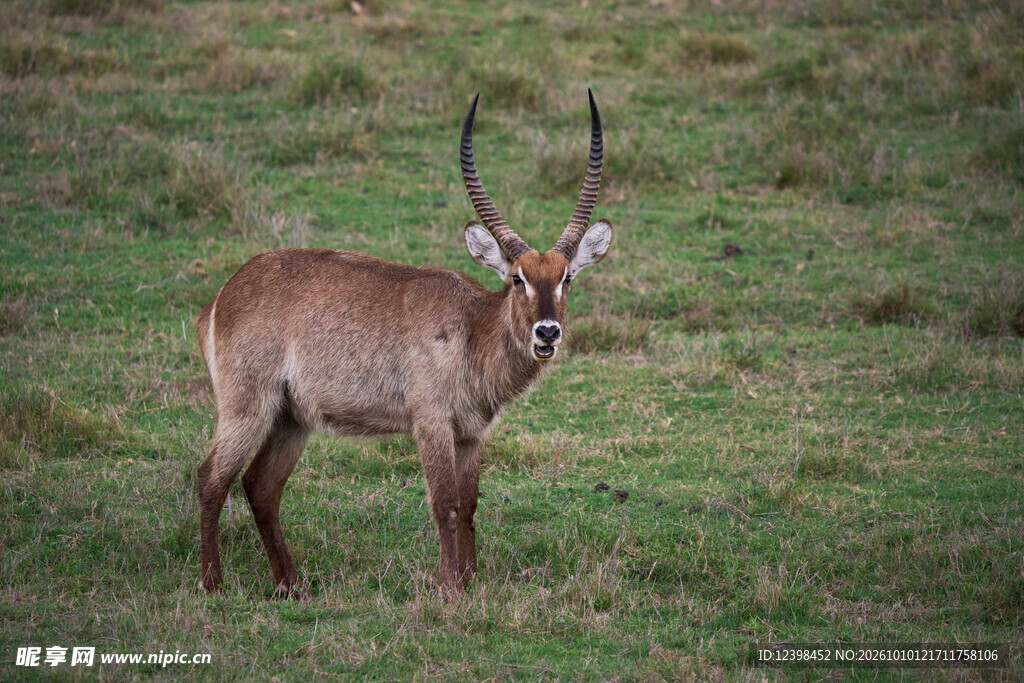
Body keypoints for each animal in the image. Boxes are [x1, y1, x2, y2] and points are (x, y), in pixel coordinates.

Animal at [195, 90, 613, 598]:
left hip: (291, 419)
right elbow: (444, 503)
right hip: (247, 408)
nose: (547, 332)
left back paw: (292, 586)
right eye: (518, 278)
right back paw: (213, 582)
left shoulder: (472, 434)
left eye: (567, 277)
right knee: (212, 478)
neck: (473, 327)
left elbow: (469, 505)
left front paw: (472, 581)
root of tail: (225, 293)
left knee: (260, 486)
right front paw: (450, 589)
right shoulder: (430, 423)